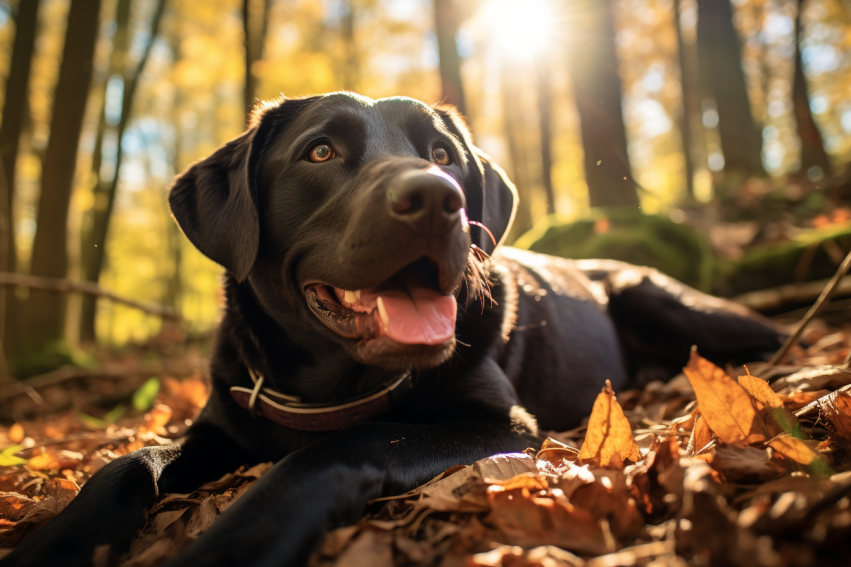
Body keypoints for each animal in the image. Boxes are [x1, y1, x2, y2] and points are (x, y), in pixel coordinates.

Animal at [1, 94, 784, 567]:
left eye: (442, 154)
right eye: (319, 152)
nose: (440, 198)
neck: (323, 384)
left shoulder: (498, 422)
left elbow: (342, 445)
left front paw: (240, 538)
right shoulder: (220, 426)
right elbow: (126, 461)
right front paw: (48, 545)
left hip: (661, 299)